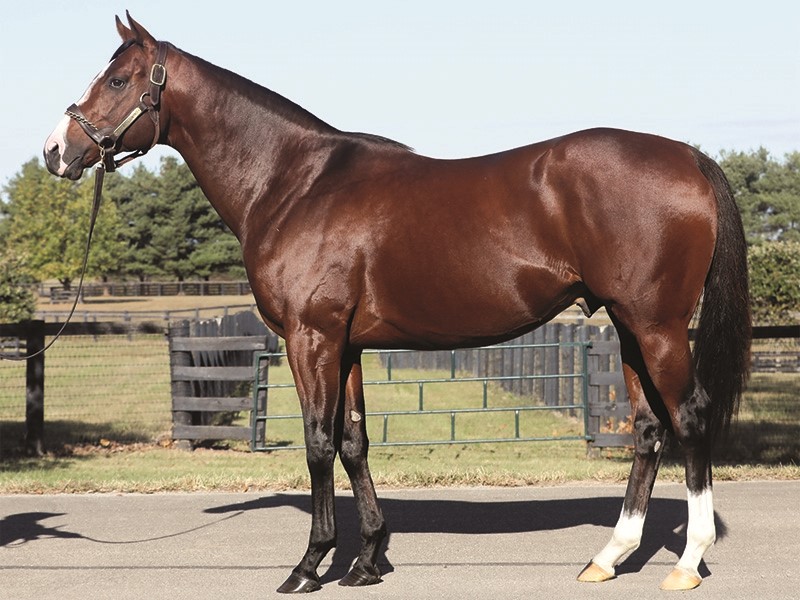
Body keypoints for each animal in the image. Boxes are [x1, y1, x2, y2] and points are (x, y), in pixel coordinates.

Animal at [44, 13, 751, 594]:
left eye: (118, 79)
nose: (57, 151)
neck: (295, 183)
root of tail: (687, 155)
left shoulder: (311, 338)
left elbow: (317, 442)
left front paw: (310, 565)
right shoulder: (347, 345)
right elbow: (354, 442)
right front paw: (367, 560)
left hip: (657, 327)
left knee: (689, 418)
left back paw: (687, 564)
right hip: (629, 328)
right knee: (650, 429)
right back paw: (608, 557)